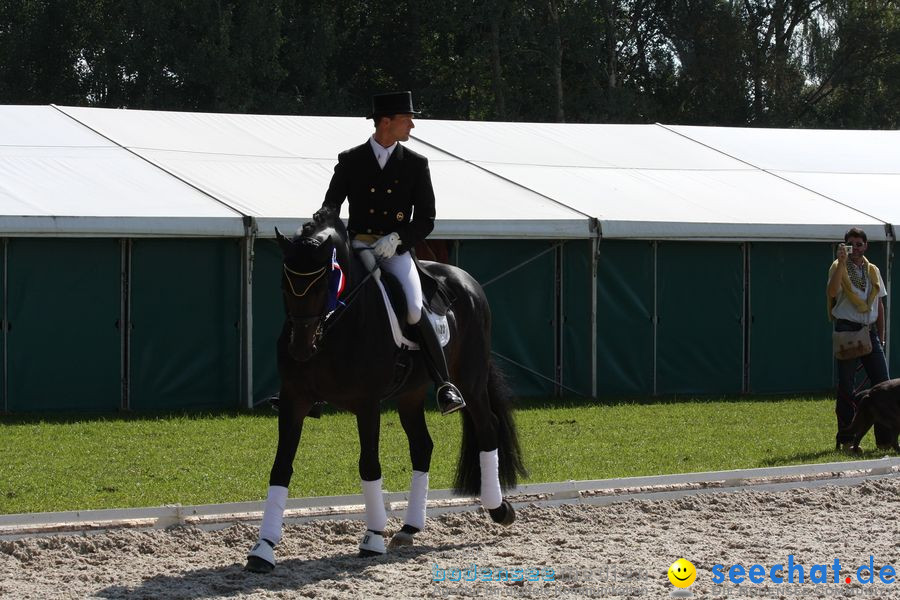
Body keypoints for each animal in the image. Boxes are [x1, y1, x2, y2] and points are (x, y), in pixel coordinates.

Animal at [246, 214, 528, 572]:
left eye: (323, 286)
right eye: (284, 285)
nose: (300, 349)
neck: (338, 325)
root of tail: (466, 280)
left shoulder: (367, 404)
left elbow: (369, 465)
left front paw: (372, 538)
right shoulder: (294, 400)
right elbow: (281, 467)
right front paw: (263, 548)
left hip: (471, 380)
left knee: (487, 428)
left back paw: (498, 508)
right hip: (411, 393)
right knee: (422, 446)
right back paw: (410, 528)